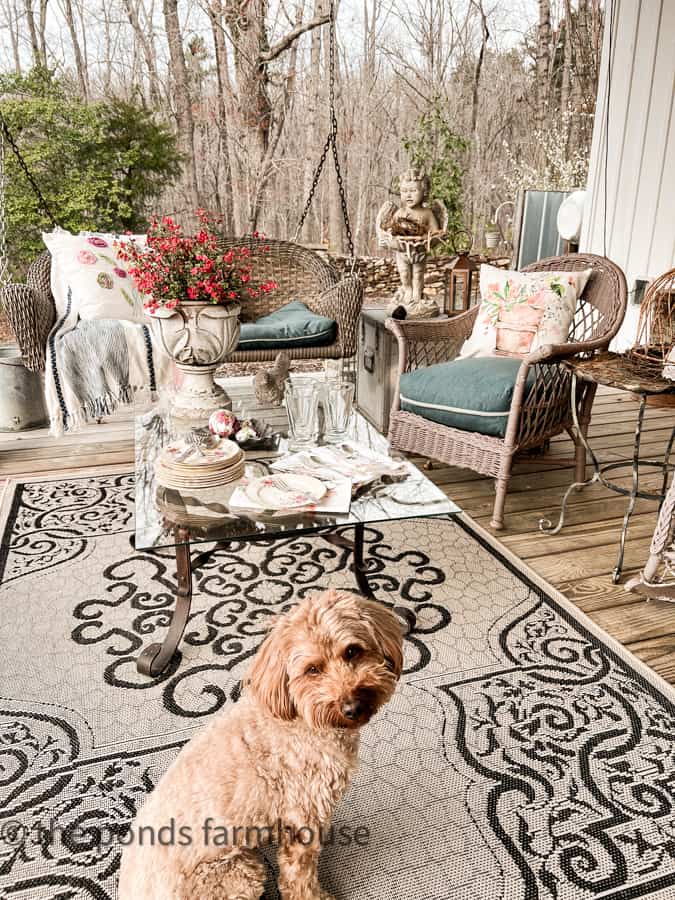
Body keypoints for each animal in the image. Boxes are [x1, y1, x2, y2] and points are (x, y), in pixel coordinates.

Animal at [117, 592, 404, 900]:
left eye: (352, 651)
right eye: (312, 670)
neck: (300, 721)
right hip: (241, 870)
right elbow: (299, 876)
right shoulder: (303, 818)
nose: (353, 706)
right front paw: (315, 896)